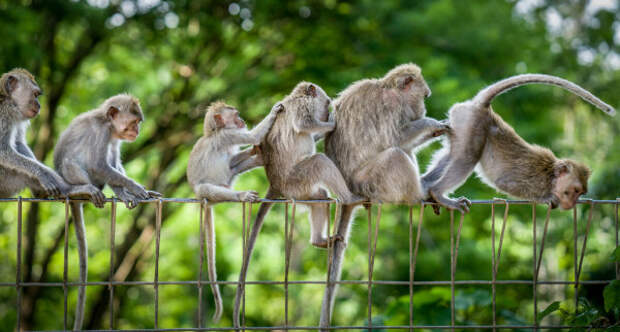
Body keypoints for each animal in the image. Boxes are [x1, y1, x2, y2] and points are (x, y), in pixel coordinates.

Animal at [53, 94, 161, 332]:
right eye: (134, 122)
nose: (138, 130)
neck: (109, 125)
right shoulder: (102, 133)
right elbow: (99, 164)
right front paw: (134, 187)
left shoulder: (113, 137)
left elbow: (113, 163)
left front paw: (129, 190)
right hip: (71, 177)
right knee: (75, 163)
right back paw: (83, 191)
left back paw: (119, 193)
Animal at [186, 100, 284, 322]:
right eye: (236, 115)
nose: (242, 120)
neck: (215, 131)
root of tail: (207, 203)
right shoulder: (228, 135)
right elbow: (252, 135)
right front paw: (274, 111)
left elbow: (234, 157)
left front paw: (255, 152)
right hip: (209, 192)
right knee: (207, 188)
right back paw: (241, 195)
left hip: (227, 181)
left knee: (232, 167)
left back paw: (258, 159)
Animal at [231, 82, 358, 326]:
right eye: (326, 103)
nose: (327, 112)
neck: (295, 96)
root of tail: (276, 184)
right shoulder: (302, 106)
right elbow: (304, 124)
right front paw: (332, 122)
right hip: (297, 179)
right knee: (319, 162)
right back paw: (348, 198)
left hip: (299, 190)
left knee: (319, 198)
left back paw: (319, 241)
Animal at [320, 63, 446, 330]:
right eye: (424, 96)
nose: (424, 108)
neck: (390, 90)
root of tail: (348, 190)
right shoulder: (391, 108)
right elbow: (396, 139)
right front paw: (430, 123)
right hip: (369, 181)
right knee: (395, 155)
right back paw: (420, 195)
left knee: (402, 153)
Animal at [422, 73, 616, 213]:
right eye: (574, 190)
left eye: (580, 193)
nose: (573, 204)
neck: (550, 176)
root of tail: (484, 108)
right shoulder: (534, 180)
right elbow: (506, 183)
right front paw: (545, 199)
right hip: (472, 124)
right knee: (467, 158)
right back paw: (438, 193)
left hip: (461, 124)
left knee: (452, 155)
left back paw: (426, 186)